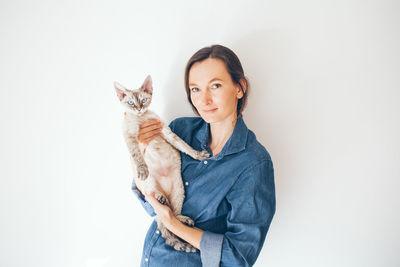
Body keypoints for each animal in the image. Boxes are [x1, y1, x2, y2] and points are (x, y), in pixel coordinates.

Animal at [113, 75, 209, 253]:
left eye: (143, 100)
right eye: (131, 103)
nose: (139, 108)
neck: (141, 118)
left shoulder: (165, 131)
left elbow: (184, 146)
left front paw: (199, 155)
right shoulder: (130, 136)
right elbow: (137, 156)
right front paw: (142, 169)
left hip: (179, 192)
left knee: (173, 216)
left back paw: (183, 218)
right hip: (150, 186)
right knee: (156, 199)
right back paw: (160, 197)